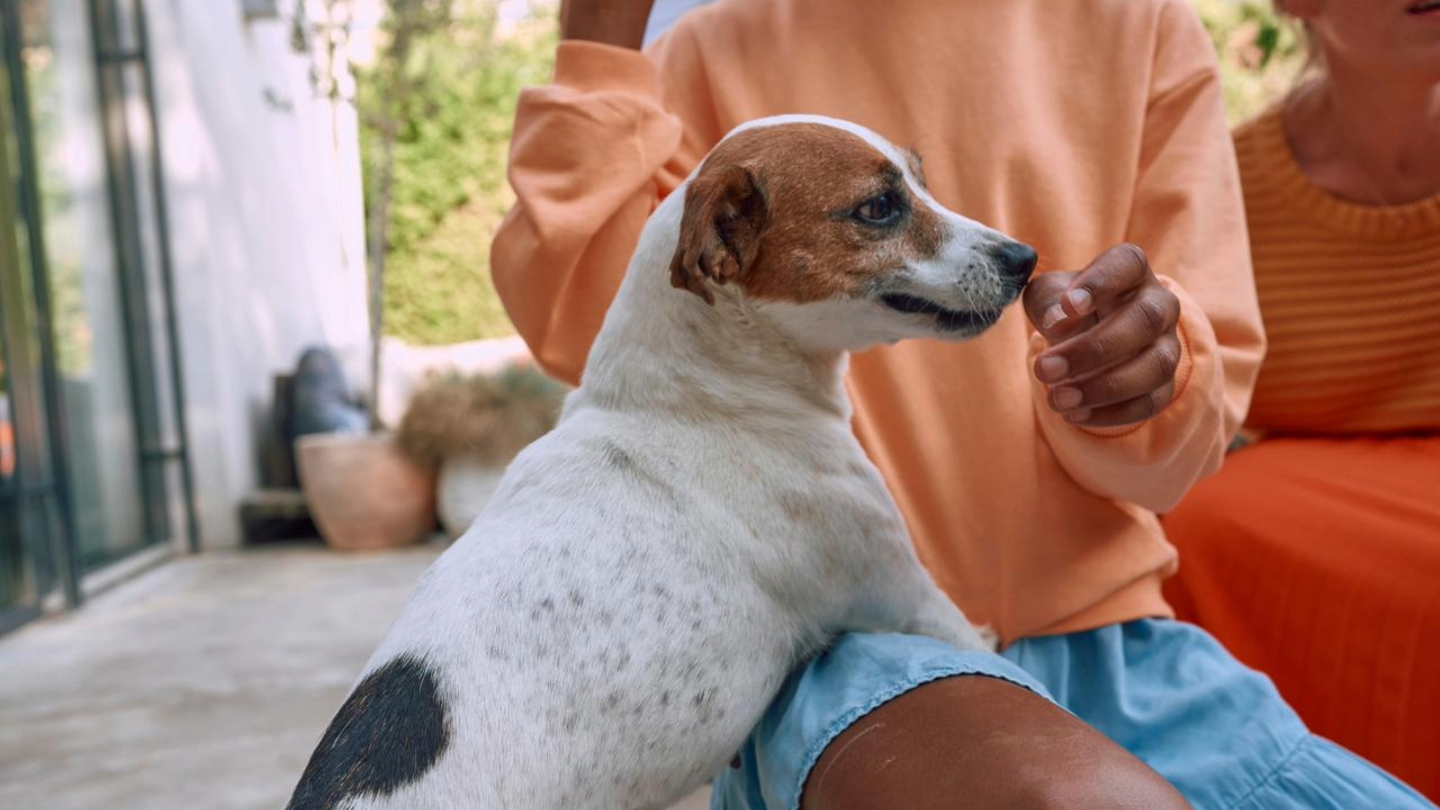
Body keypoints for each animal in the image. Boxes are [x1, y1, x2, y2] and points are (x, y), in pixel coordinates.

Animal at [286, 115, 1042, 807]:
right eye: (879, 207)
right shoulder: (901, 593)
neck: (698, 396)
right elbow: (973, 640)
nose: (1025, 256)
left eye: (921, 180)